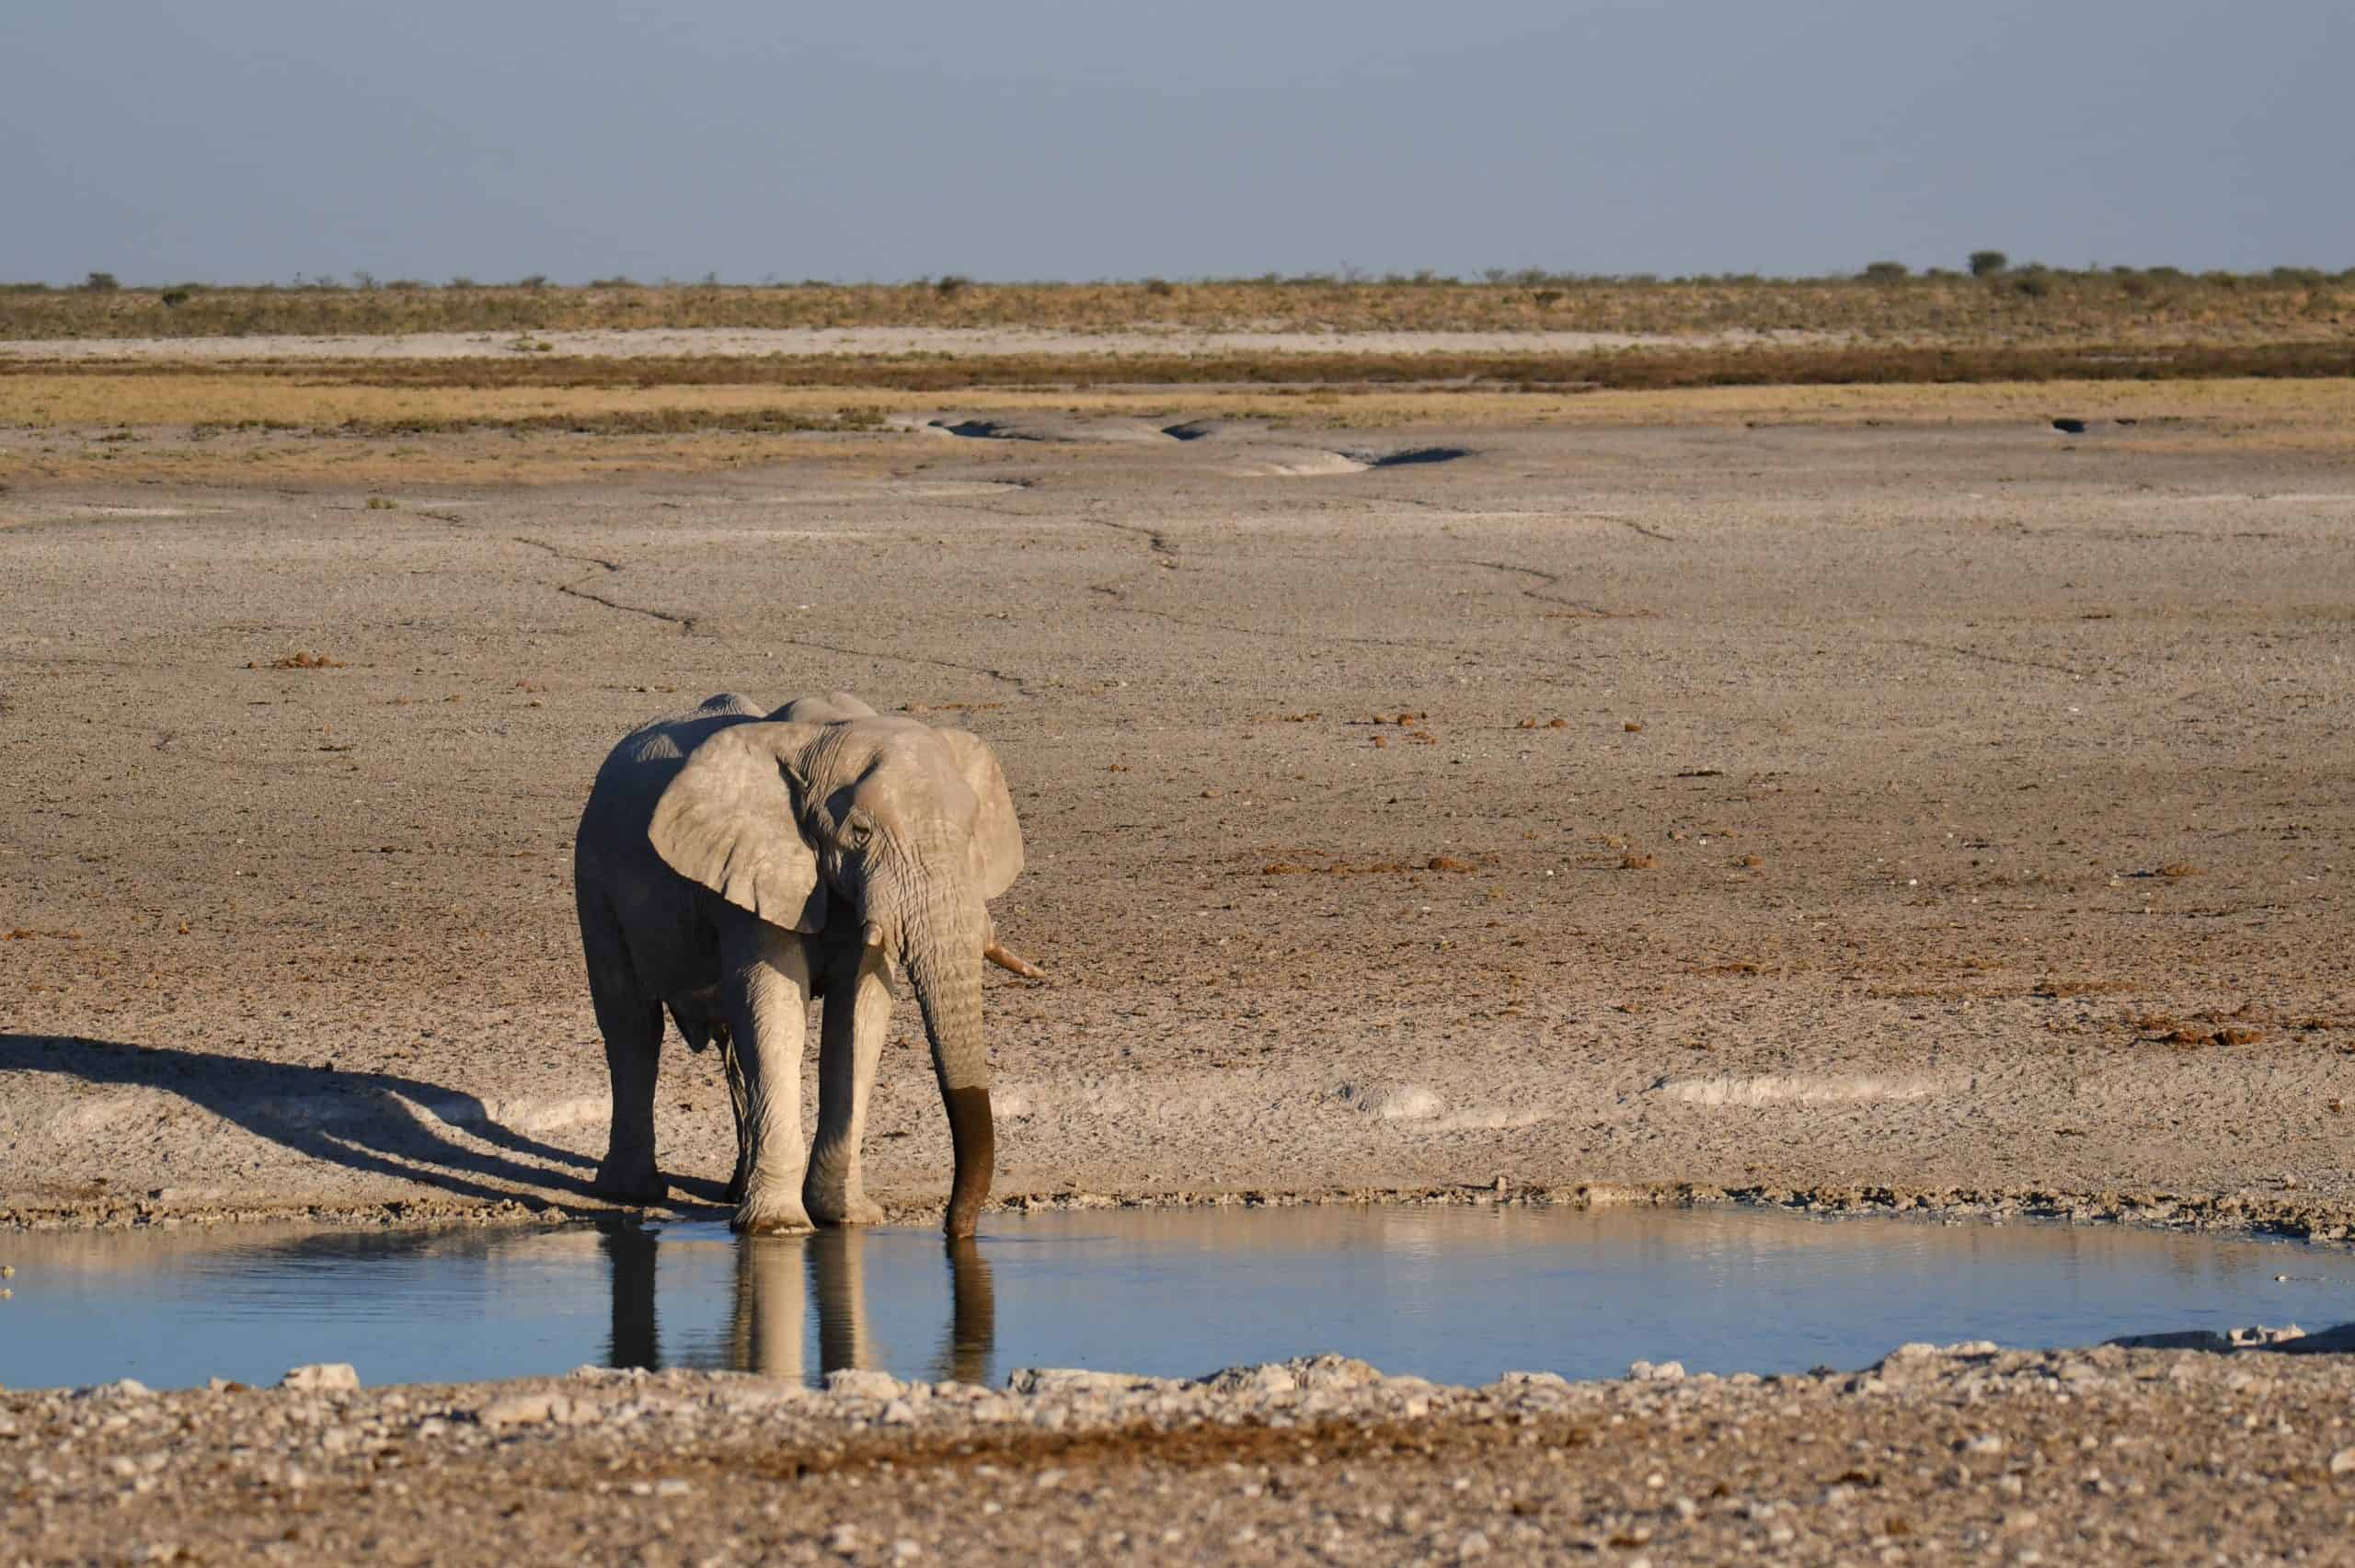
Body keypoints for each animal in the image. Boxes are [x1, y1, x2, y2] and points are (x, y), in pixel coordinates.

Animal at [573, 691, 1037, 1237]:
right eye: (860, 832)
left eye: (970, 833)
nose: (955, 1231)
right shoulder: (754, 866)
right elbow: (777, 1009)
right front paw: (779, 1228)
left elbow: (858, 1016)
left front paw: (846, 1218)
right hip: (593, 873)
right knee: (632, 1025)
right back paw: (631, 1192)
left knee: (730, 1044)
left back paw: (732, 1191)